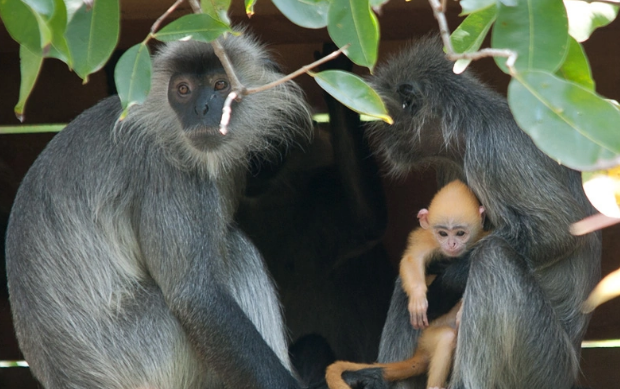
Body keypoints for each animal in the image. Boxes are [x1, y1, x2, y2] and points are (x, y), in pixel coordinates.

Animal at [326, 180, 486, 388]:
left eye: (460, 233)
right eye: (443, 234)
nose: (451, 244)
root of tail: (421, 352)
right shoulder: (426, 238)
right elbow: (411, 259)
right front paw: (418, 299)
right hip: (427, 337)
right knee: (445, 338)